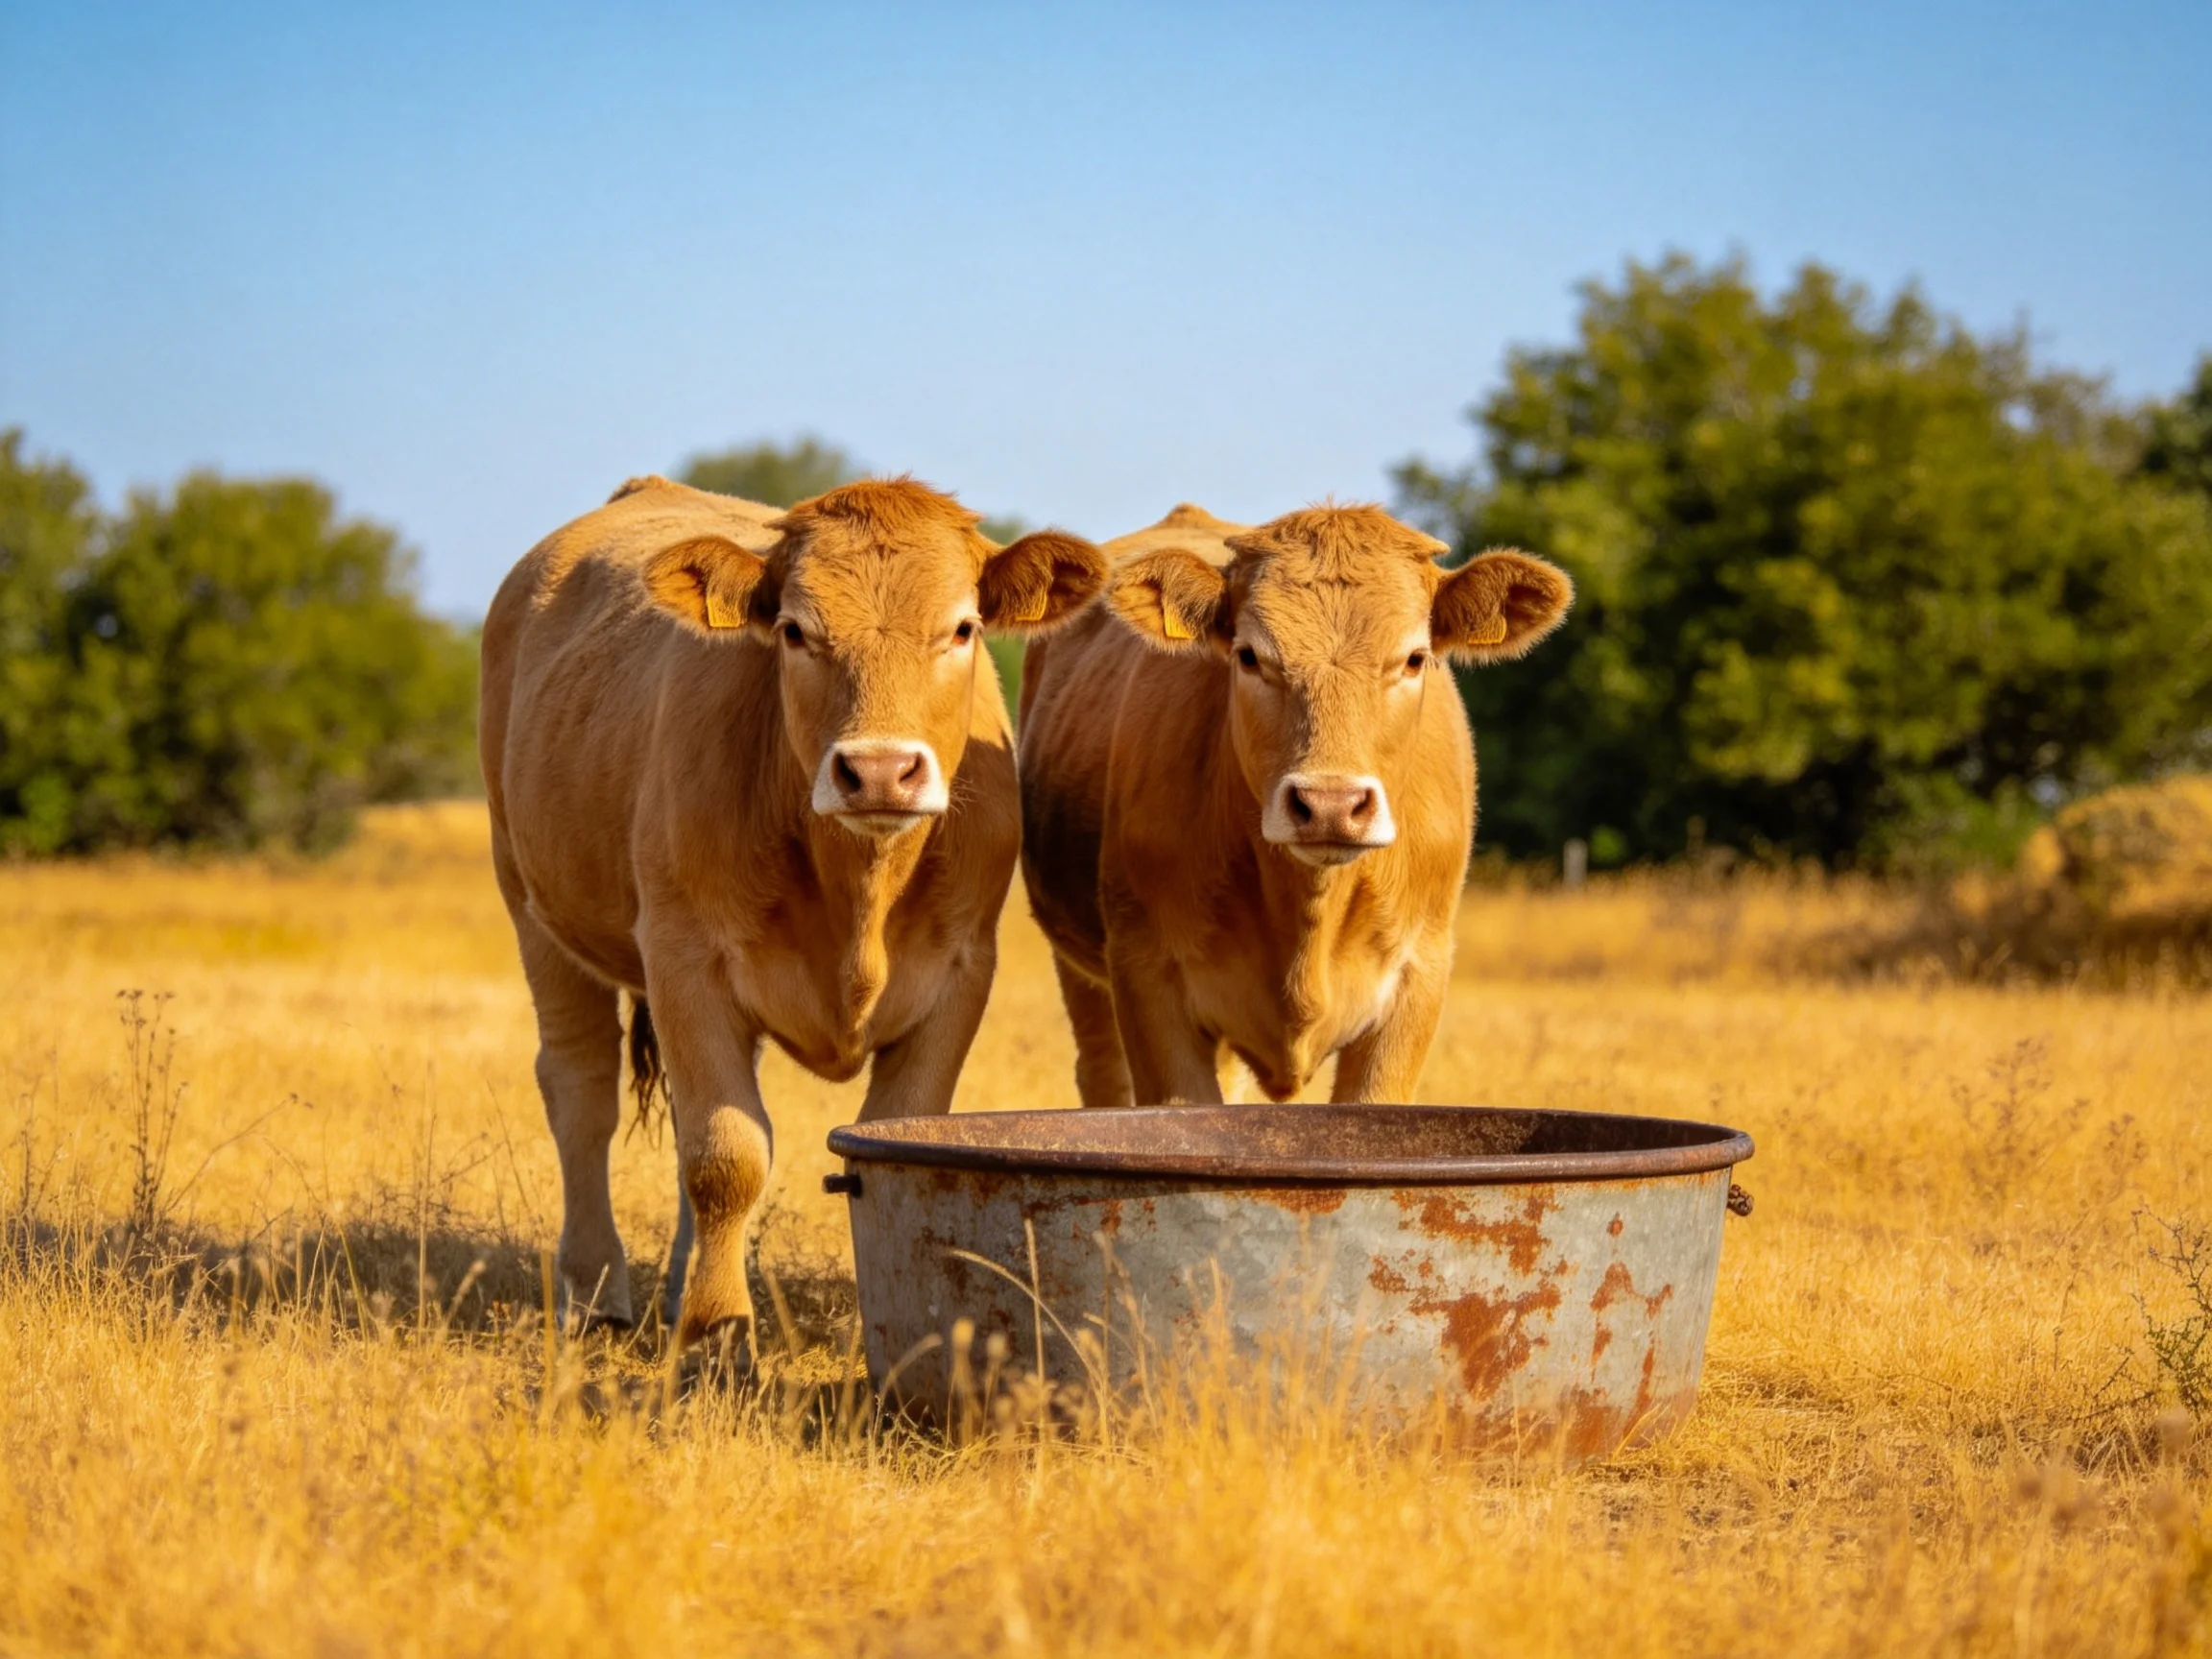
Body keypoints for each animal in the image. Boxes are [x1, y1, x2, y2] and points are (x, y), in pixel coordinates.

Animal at [479, 474, 1106, 1349]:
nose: (878, 770)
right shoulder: (684, 961)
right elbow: (726, 1155)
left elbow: (888, 1132)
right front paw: (717, 1329)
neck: (858, 892)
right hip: (531, 905)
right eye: (795, 630)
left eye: (963, 627)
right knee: (580, 1093)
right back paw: (596, 1291)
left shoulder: (960, 971)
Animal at [1017, 502, 1571, 1110]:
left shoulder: (1417, 977)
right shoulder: (1148, 980)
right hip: (1083, 975)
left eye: (1414, 658)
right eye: (1249, 656)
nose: (1331, 804)